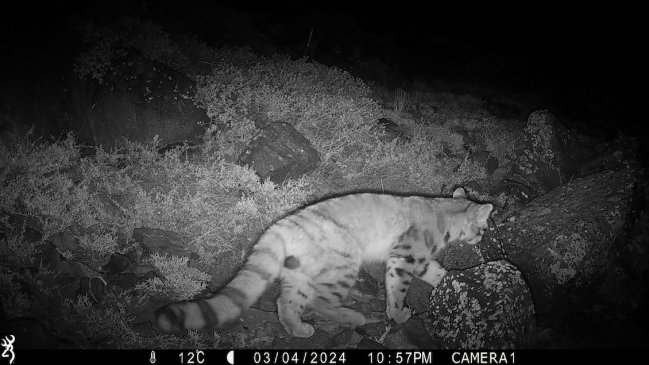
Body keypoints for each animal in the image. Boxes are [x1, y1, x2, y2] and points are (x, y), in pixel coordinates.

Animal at [156, 188, 492, 338]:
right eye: (483, 227)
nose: (483, 238)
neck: (442, 214)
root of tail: (281, 224)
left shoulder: (420, 261)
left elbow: (438, 272)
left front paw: (452, 282)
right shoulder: (405, 257)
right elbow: (398, 289)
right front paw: (398, 313)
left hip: (299, 275)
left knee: (285, 302)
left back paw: (300, 329)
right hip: (344, 264)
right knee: (319, 301)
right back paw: (353, 317)